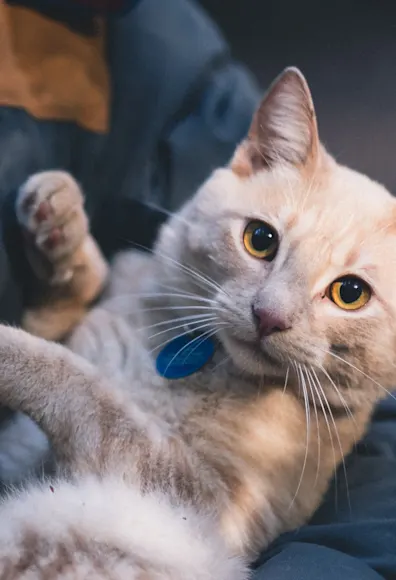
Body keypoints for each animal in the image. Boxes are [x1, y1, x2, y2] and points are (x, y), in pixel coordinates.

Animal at [0, 67, 392, 576]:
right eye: (260, 239)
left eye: (350, 294)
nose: (269, 316)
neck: (202, 363)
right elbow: (69, 308)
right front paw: (59, 221)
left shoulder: (193, 498)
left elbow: (84, 388)